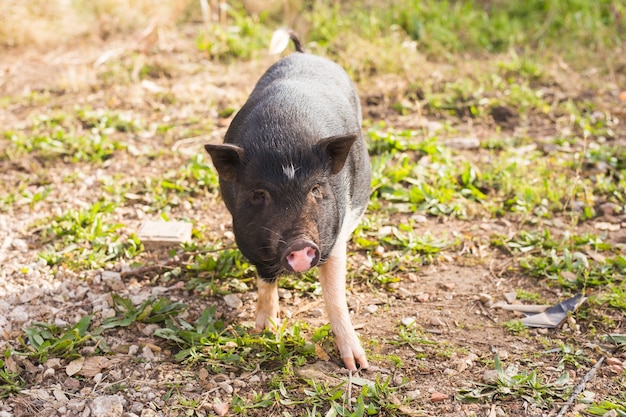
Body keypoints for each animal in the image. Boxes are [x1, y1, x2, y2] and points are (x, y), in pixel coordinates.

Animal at [205, 35, 370, 368]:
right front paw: (265, 330)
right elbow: (266, 278)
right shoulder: (248, 239)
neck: (283, 139)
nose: (299, 245)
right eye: (259, 194)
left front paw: (357, 365)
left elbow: (334, 291)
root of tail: (305, 54)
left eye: (316, 189)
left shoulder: (333, 233)